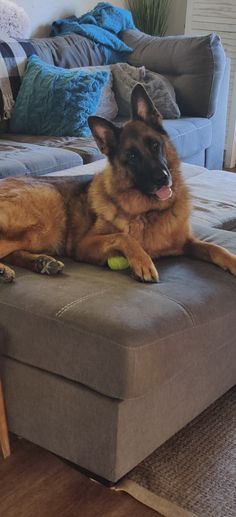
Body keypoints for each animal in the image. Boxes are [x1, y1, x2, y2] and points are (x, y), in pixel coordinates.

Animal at [0, 85, 236, 286]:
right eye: (132, 157)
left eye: (155, 145)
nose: (163, 178)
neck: (148, 212)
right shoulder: (84, 246)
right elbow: (124, 237)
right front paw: (143, 262)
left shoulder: (188, 243)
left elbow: (216, 248)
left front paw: (232, 261)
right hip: (46, 215)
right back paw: (6, 270)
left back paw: (41, 262)